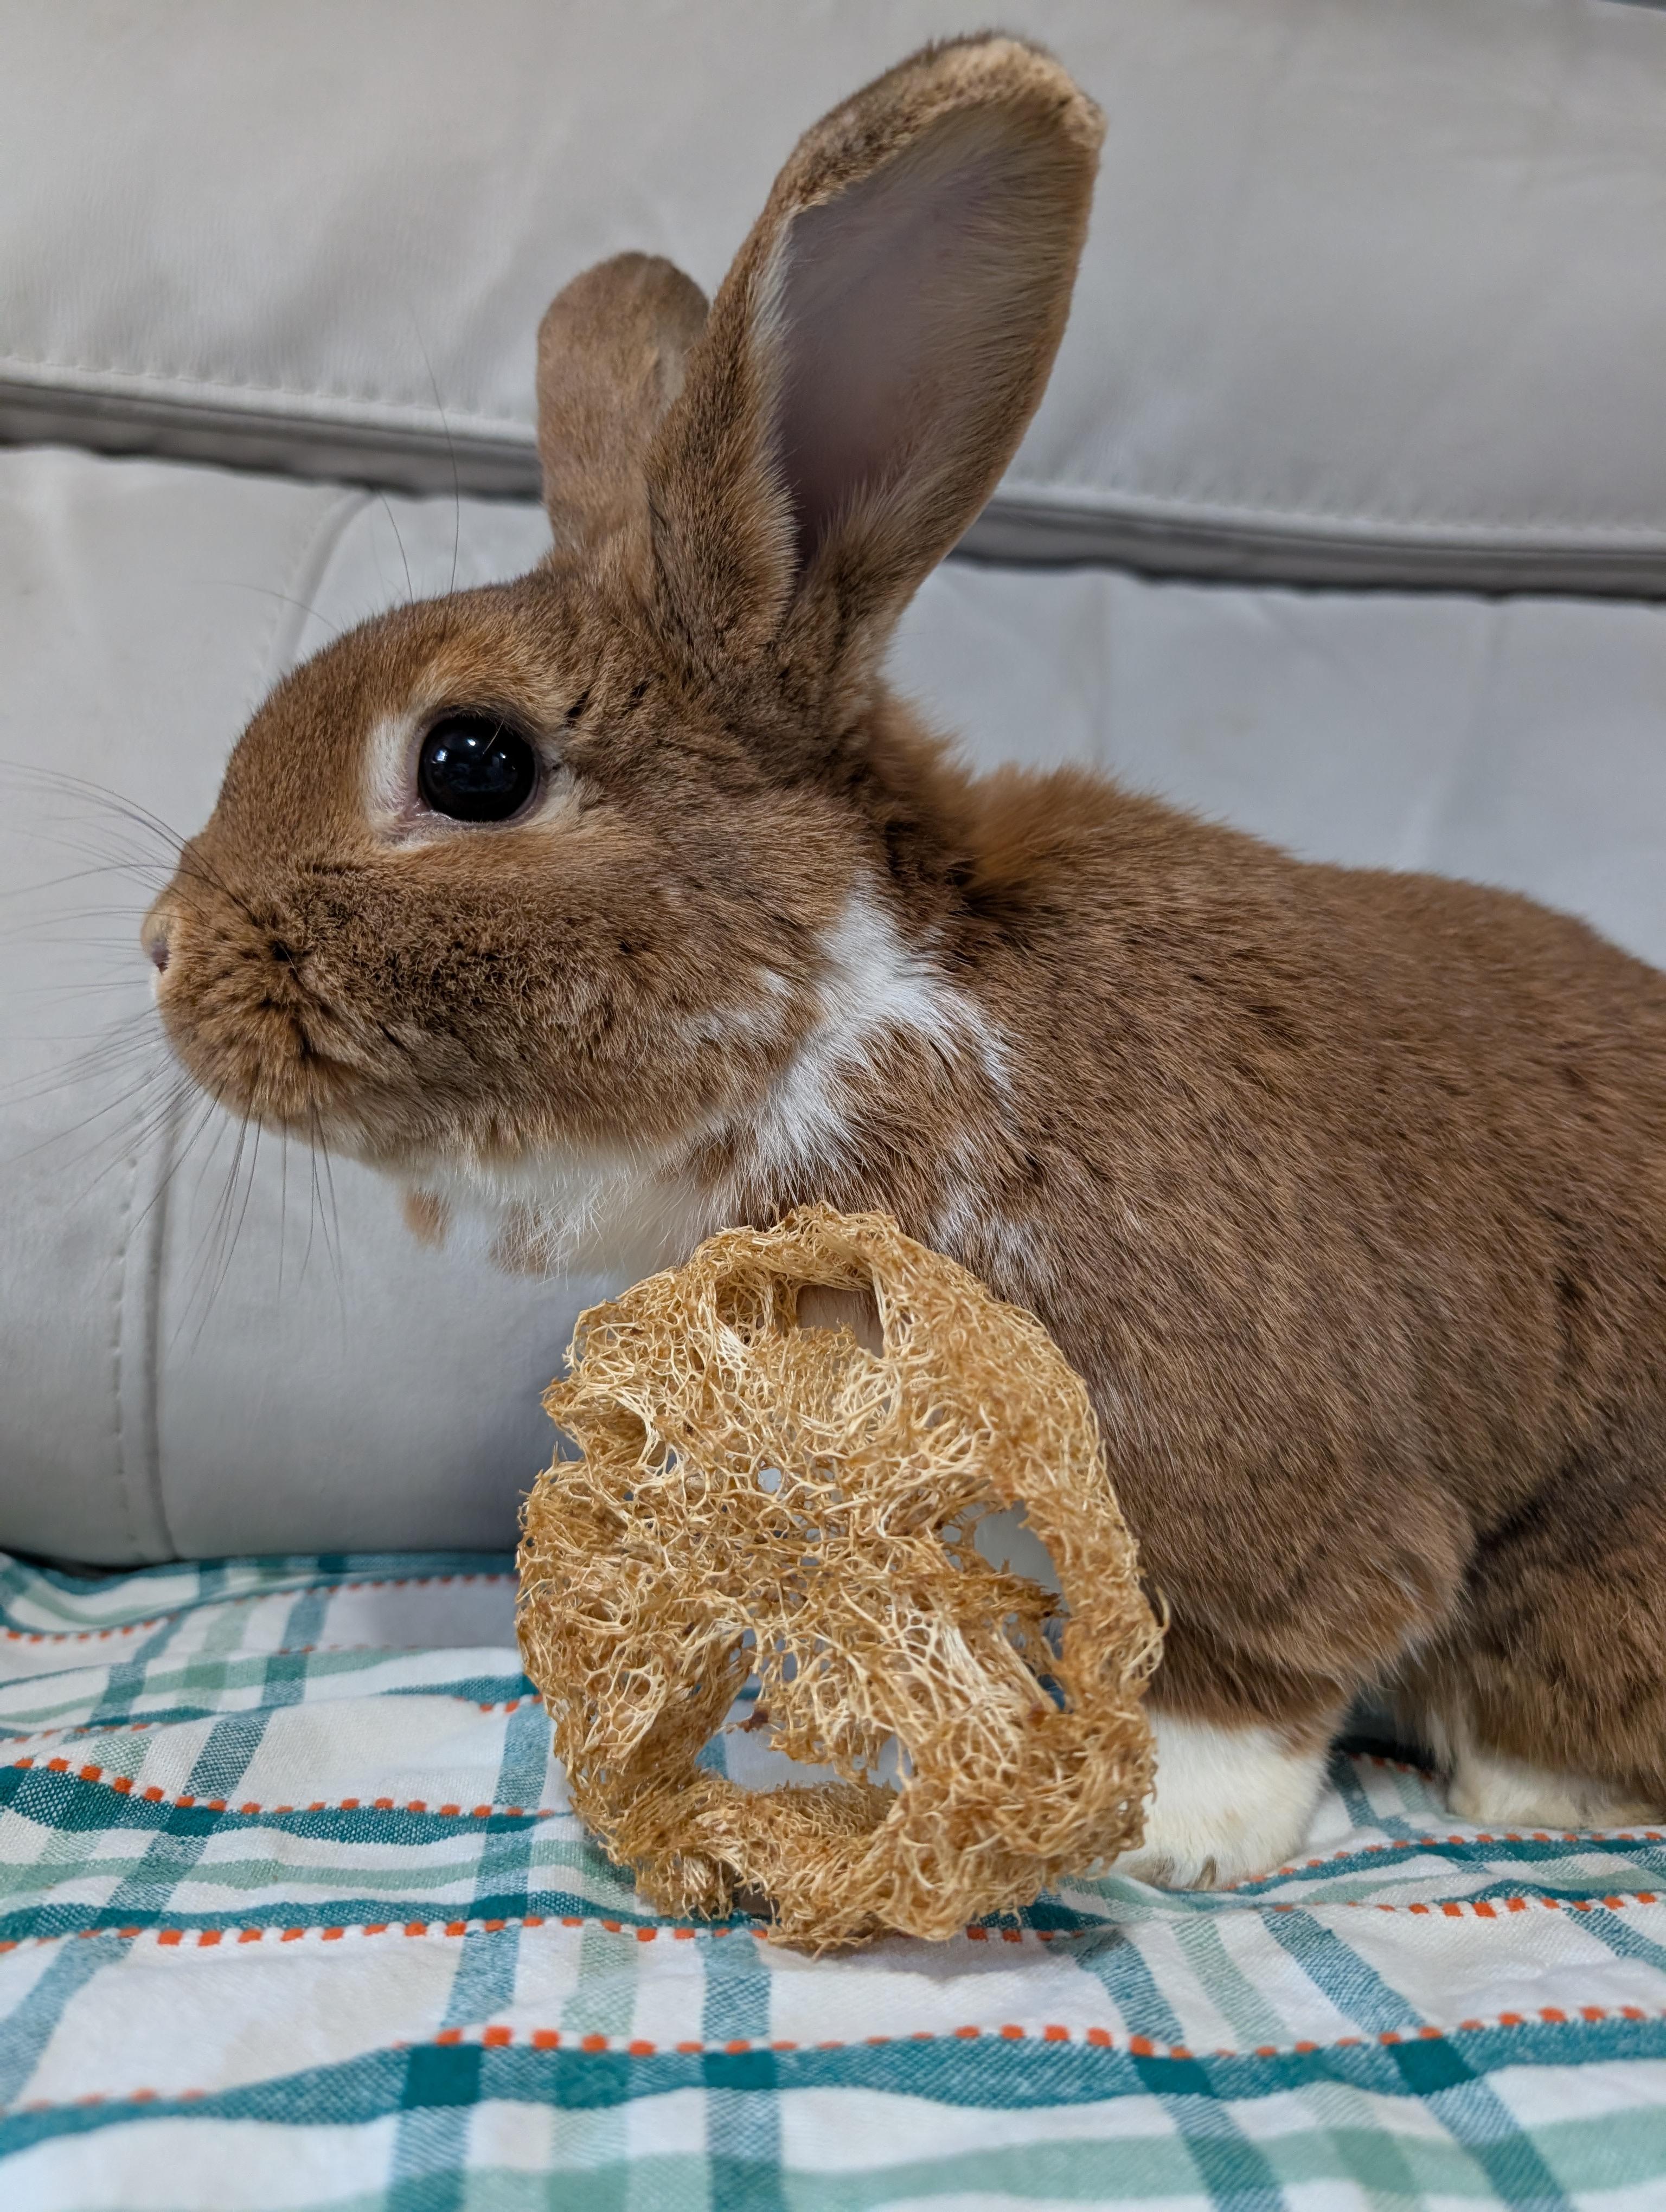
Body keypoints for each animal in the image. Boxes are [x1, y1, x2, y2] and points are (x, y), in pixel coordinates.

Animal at [142, 32, 1666, 1890]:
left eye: (473, 763)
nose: (164, 951)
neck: (852, 1010)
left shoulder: (1264, 1472)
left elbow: (1253, 1665)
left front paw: (1173, 1839)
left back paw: (1527, 1792)